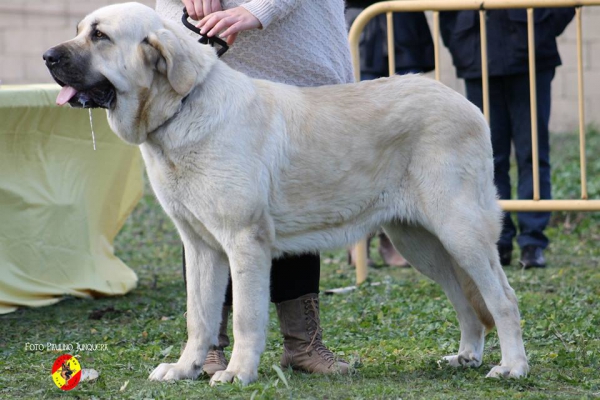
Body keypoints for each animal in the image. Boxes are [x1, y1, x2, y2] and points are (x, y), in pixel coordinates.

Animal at [43, 2, 528, 384]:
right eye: (80, 28)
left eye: (100, 36)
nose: (47, 56)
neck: (181, 108)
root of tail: (468, 104)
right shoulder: (201, 247)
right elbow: (199, 317)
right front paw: (185, 369)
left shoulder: (245, 242)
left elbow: (246, 316)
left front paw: (237, 373)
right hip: (421, 242)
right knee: (466, 300)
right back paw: (466, 356)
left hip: (460, 231)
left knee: (502, 299)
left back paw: (512, 367)